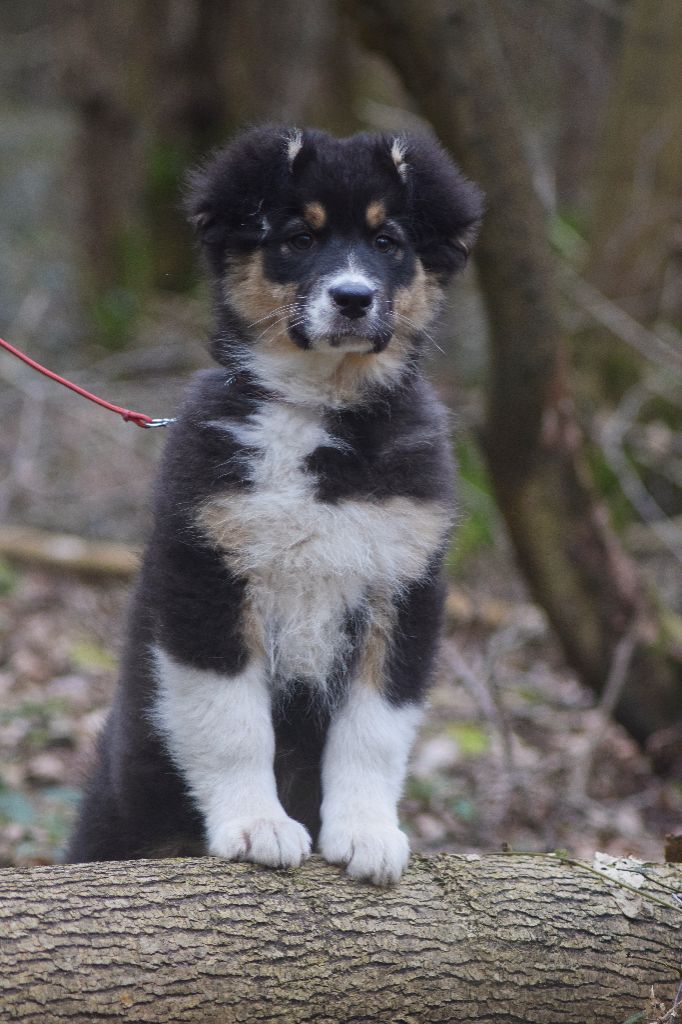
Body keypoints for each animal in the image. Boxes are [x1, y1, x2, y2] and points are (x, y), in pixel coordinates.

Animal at [67, 126, 483, 884]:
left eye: (387, 242)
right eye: (298, 237)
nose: (352, 297)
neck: (318, 410)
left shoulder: (405, 585)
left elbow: (373, 730)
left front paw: (367, 832)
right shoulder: (207, 575)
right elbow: (233, 721)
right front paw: (257, 825)